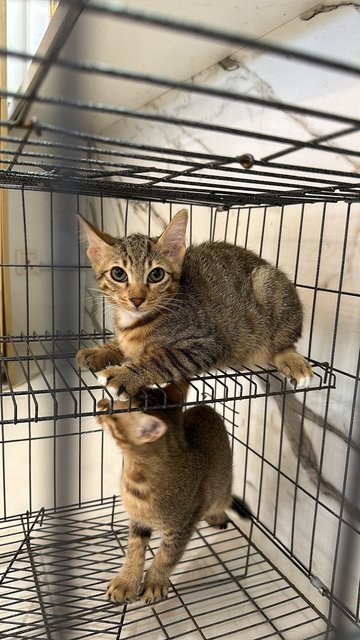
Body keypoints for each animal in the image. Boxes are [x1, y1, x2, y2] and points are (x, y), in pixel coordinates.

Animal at [76, 208, 312, 396]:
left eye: (156, 275)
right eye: (118, 273)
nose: (136, 299)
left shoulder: (206, 344)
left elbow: (162, 360)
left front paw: (123, 374)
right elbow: (123, 345)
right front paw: (101, 351)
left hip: (267, 286)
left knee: (284, 343)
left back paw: (292, 361)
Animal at [97, 382, 252, 608]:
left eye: (112, 409)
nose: (100, 403)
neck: (136, 481)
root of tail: (206, 407)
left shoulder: (182, 528)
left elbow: (166, 558)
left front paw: (154, 583)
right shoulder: (138, 521)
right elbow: (134, 551)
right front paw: (126, 582)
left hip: (222, 488)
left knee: (222, 501)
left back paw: (216, 516)